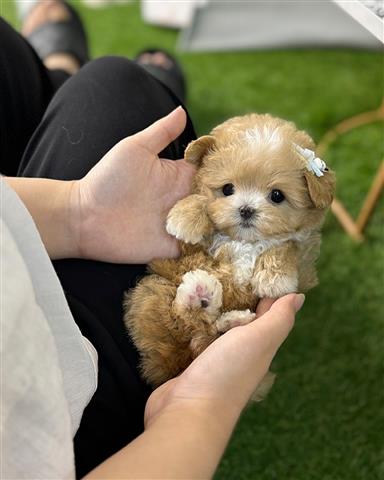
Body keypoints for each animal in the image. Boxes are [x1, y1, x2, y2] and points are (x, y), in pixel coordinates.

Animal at [124, 114, 334, 392]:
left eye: (277, 195)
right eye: (227, 189)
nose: (246, 209)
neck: (244, 241)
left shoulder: (305, 258)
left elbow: (285, 246)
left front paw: (274, 278)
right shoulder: (196, 249)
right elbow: (202, 202)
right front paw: (185, 217)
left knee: (206, 336)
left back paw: (226, 315)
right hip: (153, 292)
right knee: (189, 324)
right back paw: (201, 296)